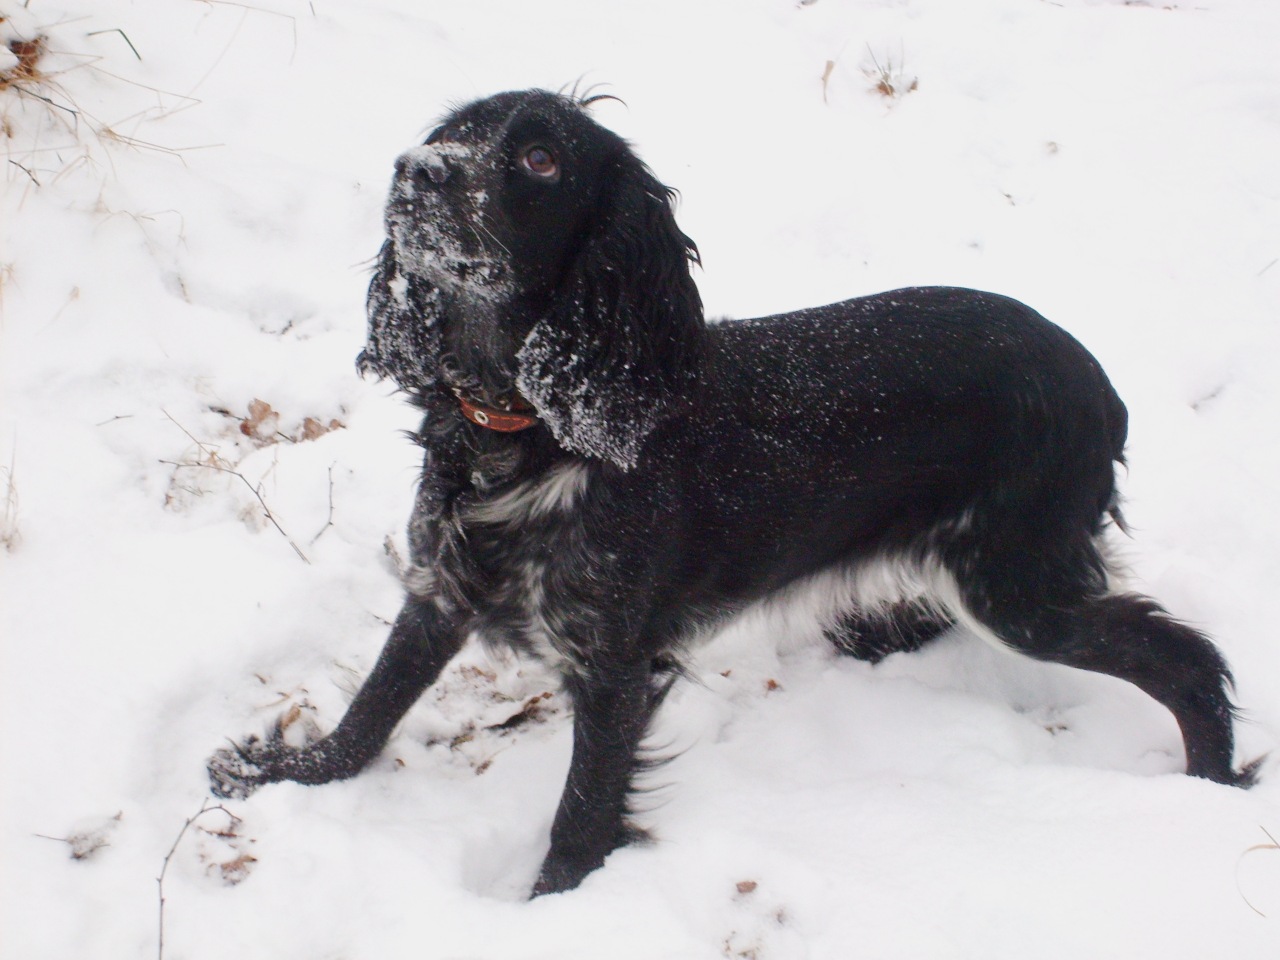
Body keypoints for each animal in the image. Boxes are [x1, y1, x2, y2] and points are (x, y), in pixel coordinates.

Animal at [209, 89, 1256, 895]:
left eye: (541, 158)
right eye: (451, 130)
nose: (415, 170)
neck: (531, 431)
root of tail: (1098, 383)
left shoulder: (613, 658)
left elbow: (581, 813)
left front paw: (553, 911)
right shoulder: (439, 588)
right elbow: (372, 707)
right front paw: (284, 772)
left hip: (1019, 581)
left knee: (1187, 660)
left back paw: (1210, 785)